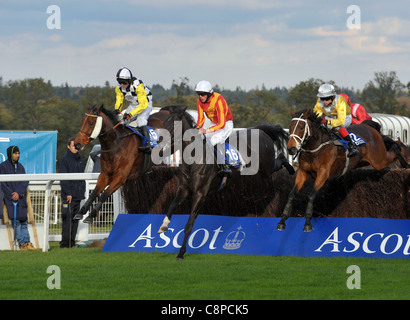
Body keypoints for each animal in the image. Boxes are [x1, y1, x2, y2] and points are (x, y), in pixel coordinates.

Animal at [157, 105, 294, 260]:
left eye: (173, 123)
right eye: (165, 122)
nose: (159, 140)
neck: (193, 159)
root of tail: (260, 130)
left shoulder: (200, 193)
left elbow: (189, 224)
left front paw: (181, 253)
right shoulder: (184, 189)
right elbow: (172, 205)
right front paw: (164, 226)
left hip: (266, 167)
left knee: (281, 158)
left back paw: (292, 170)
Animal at [278, 109, 408, 231]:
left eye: (301, 127)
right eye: (290, 127)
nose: (291, 149)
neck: (315, 148)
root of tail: (369, 127)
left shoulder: (323, 173)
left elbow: (311, 195)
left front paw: (307, 224)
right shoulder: (303, 173)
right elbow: (292, 194)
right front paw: (282, 221)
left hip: (378, 160)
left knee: (395, 149)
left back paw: (405, 164)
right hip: (365, 161)